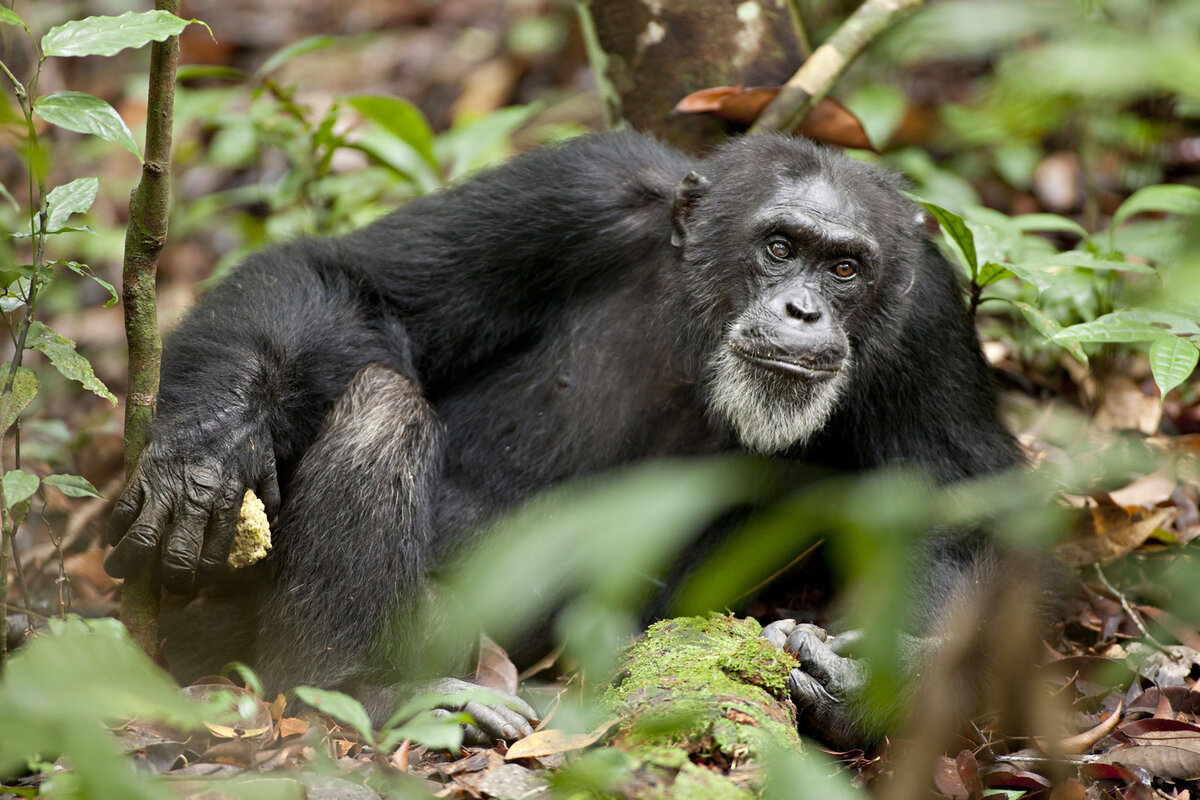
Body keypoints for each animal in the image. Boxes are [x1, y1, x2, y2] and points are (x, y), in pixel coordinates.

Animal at [108, 131, 1022, 753]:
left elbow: (966, 506)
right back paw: (359, 691)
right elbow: (358, 282)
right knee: (381, 401)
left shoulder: (928, 318)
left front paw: (881, 681)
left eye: (845, 269)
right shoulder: (577, 190)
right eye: (779, 246)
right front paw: (208, 449)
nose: (803, 310)